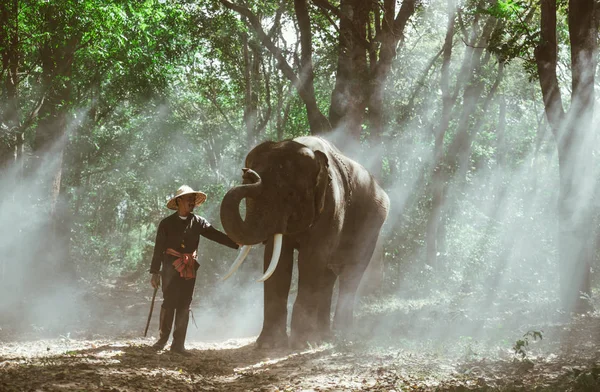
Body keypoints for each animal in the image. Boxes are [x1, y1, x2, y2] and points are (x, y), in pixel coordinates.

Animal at [220, 136, 390, 348]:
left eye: (289, 195)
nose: (247, 172)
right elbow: (278, 261)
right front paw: (269, 345)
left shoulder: (332, 206)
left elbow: (310, 258)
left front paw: (301, 343)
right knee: (328, 276)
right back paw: (324, 336)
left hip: (372, 227)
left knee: (351, 274)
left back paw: (342, 334)